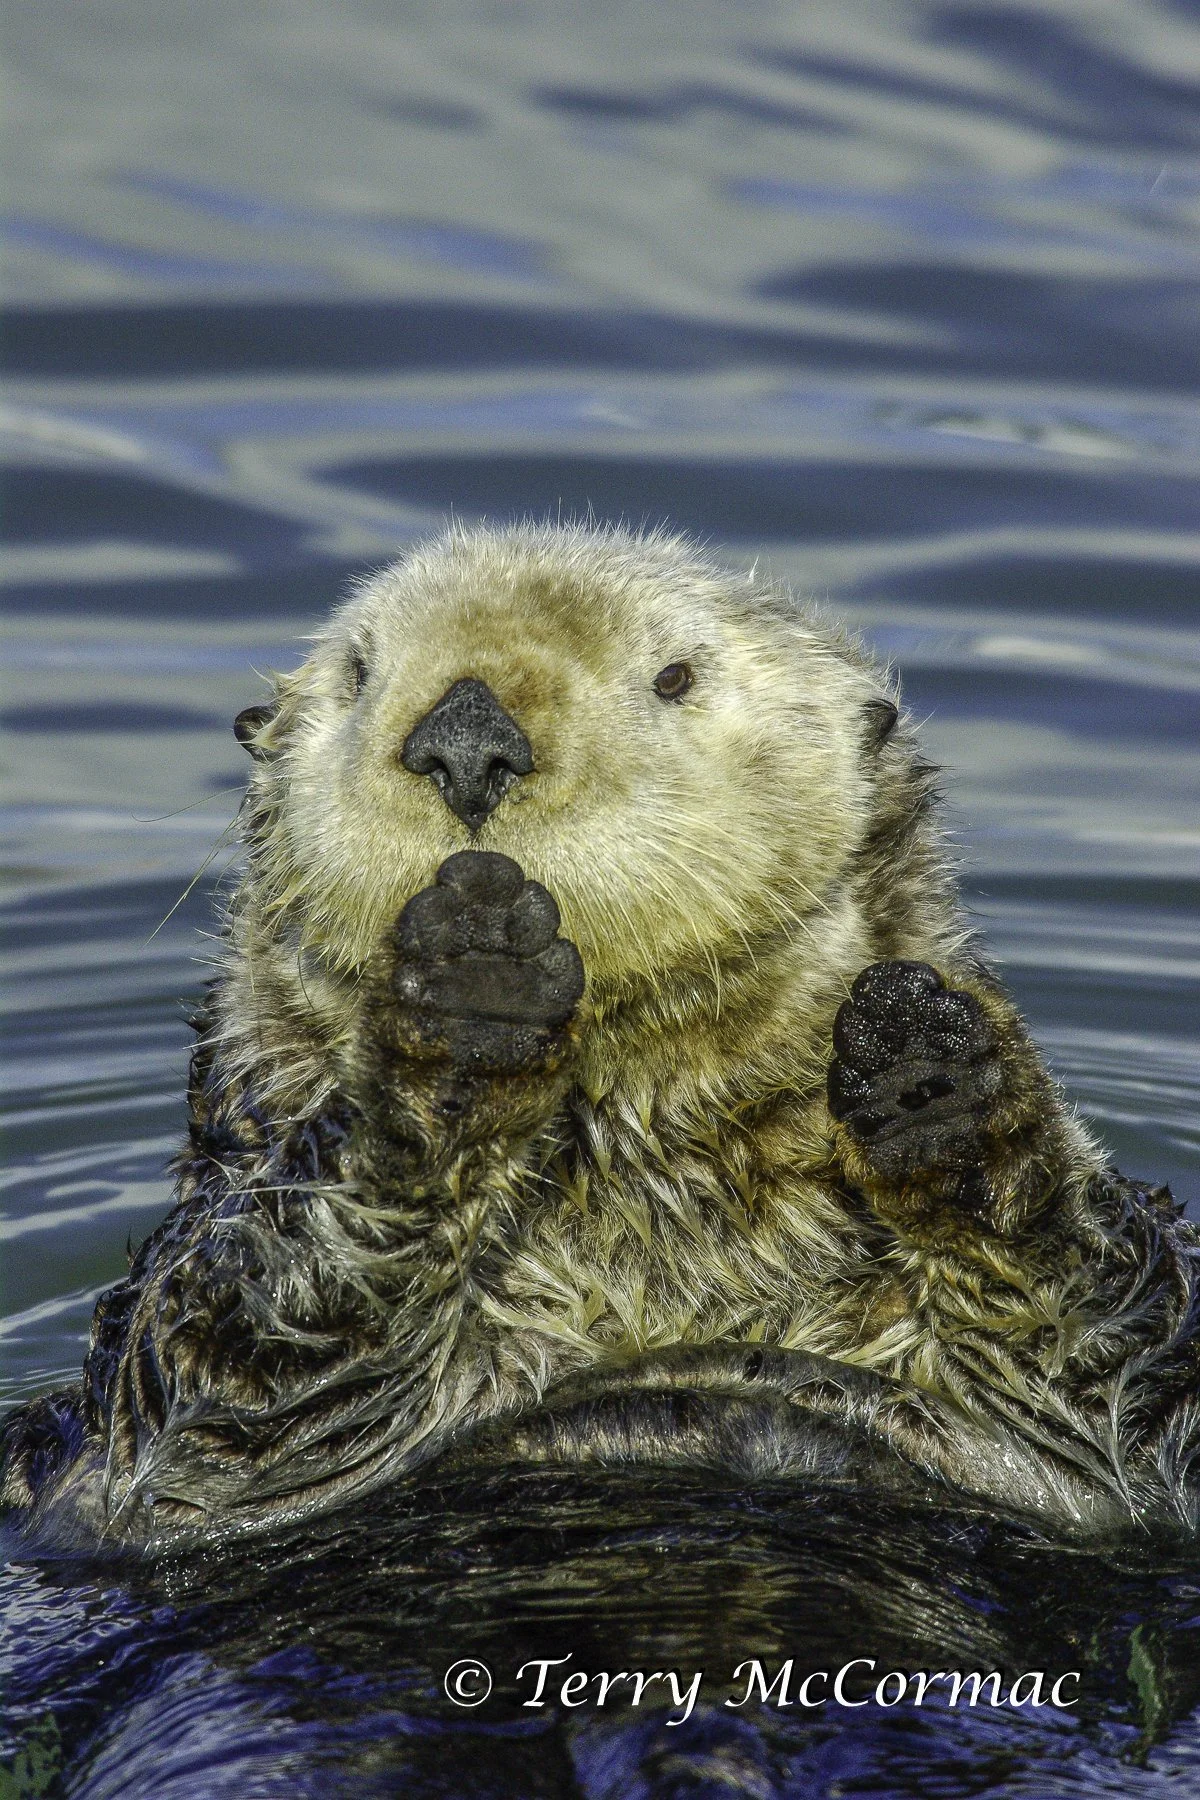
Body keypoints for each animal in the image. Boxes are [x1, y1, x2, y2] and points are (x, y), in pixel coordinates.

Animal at [3, 522, 1197, 1548]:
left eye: (675, 676)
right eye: (358, 671)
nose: (466, 738)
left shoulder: (1113, 1423)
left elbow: (1127, 1346)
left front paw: (928, 1068)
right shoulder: (173, 1391)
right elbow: (225, 1355)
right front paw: (468, 995)